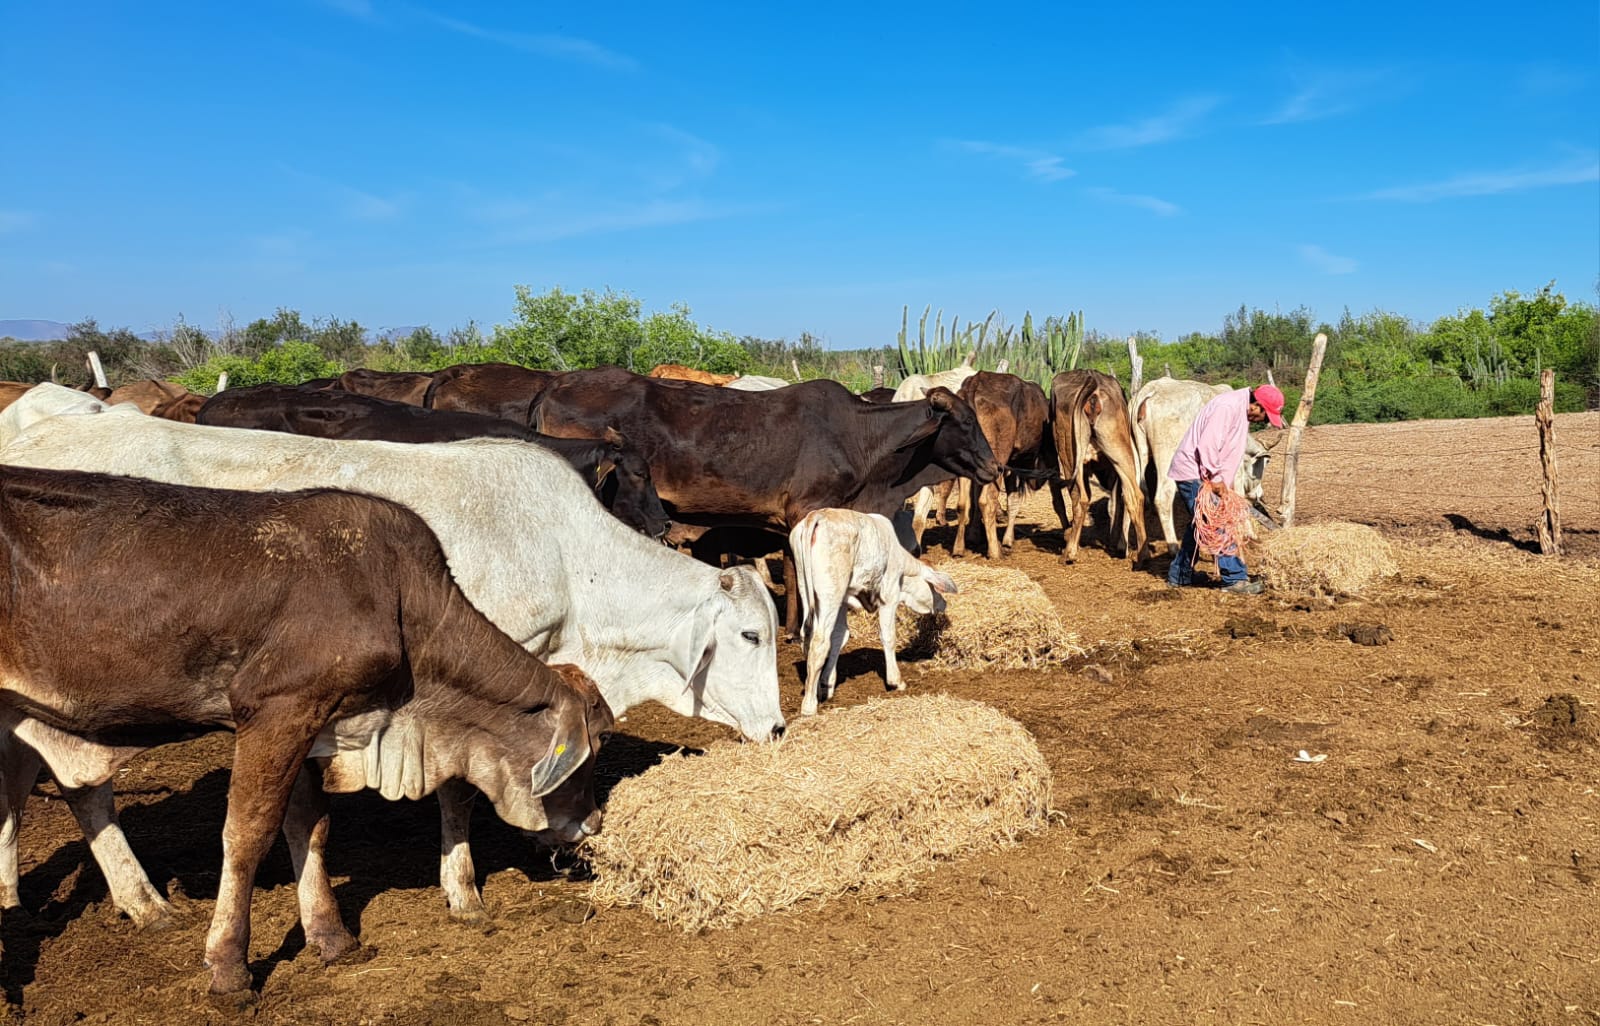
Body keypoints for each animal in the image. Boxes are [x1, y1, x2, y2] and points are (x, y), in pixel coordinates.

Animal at [0, 464, 610, 994]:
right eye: (595, 746)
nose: (594, 822)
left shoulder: (316, 722)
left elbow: (310, 826)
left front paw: (332, 936)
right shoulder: (278, 710)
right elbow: (248, 834)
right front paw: (229, 968)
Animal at [531, 366, 1001, 633]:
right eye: (963, 421)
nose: (995, 467)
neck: (860, 437)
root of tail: (554, 386)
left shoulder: (791, 520)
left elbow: (792, 572)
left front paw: (791, 628)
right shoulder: (810, 509)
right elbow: (804, 576)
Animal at [790, 510, 957, 716]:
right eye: (934, 589)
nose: (943, 604)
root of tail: (818, 516)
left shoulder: (844, 599)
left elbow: (840, 636)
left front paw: (827, 683)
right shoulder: (889, 597)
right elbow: (888, 636)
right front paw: (896, 681)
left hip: (807, 587)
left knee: (808, 637)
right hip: (830, 593)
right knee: (819, 642)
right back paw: (809, 705)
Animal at [949, 372, 1055, 559]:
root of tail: (975, 382)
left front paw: (974, 535)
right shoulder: (1012, 465)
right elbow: (1013, 500)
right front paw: (1007, 540)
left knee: (963, 504)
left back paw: (959, 548)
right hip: (997, 459)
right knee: (986, 501)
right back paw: (995, 551)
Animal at [1048, 369, 1151, 567]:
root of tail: (1092, 380)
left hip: (1069, 453)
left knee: (1080, 498)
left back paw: (1069, 552)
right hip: (1119, 450)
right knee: (1134, 496)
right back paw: (1143, 555)